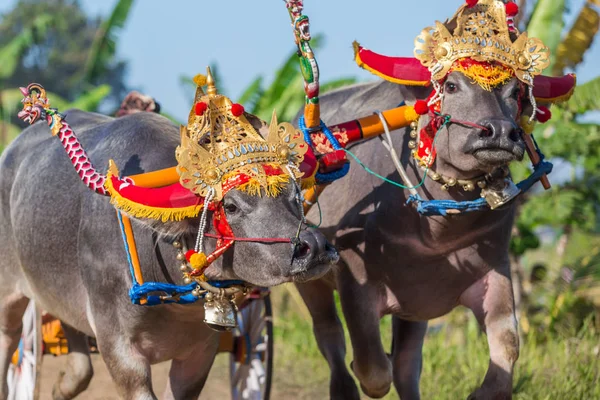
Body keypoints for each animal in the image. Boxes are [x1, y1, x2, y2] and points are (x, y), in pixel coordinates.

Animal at [0, 107, 338, 400]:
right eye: (230, 206)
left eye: (295, 196)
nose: (314, 247)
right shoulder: (118, 345)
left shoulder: (201, 350)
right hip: (10, 299)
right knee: (11, 343)